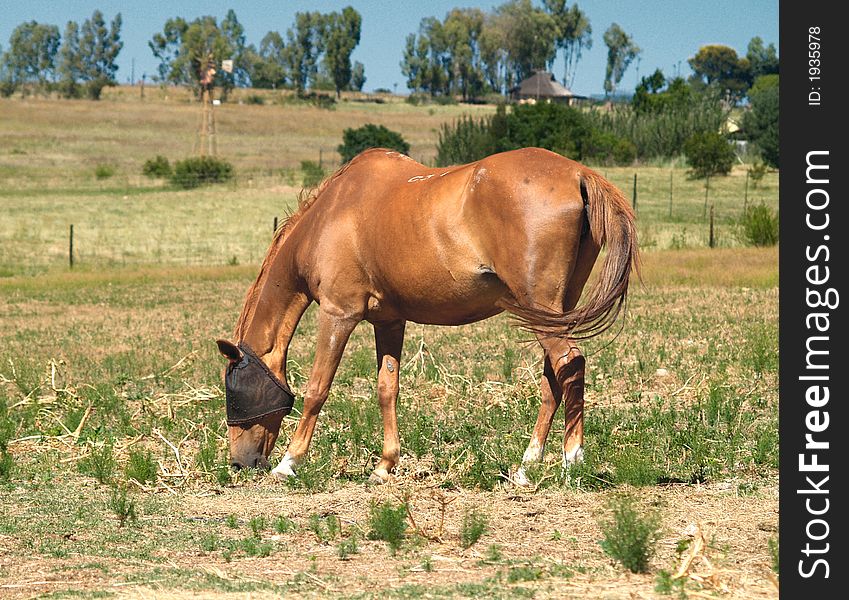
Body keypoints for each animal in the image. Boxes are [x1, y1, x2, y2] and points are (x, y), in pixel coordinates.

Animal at [215, 146, 640, 488]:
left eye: (233, 395)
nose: (239, 463)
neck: (331, 216)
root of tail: (579, 175)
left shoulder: (339, 314)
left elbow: (318, 388)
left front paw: (289, 462)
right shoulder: (389, 321)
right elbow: (387, 389)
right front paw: (385, 465)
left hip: (541, 307)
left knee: (570, 363)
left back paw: (572, 460)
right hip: (552, 312)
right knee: (554, 376)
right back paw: (526, 466)